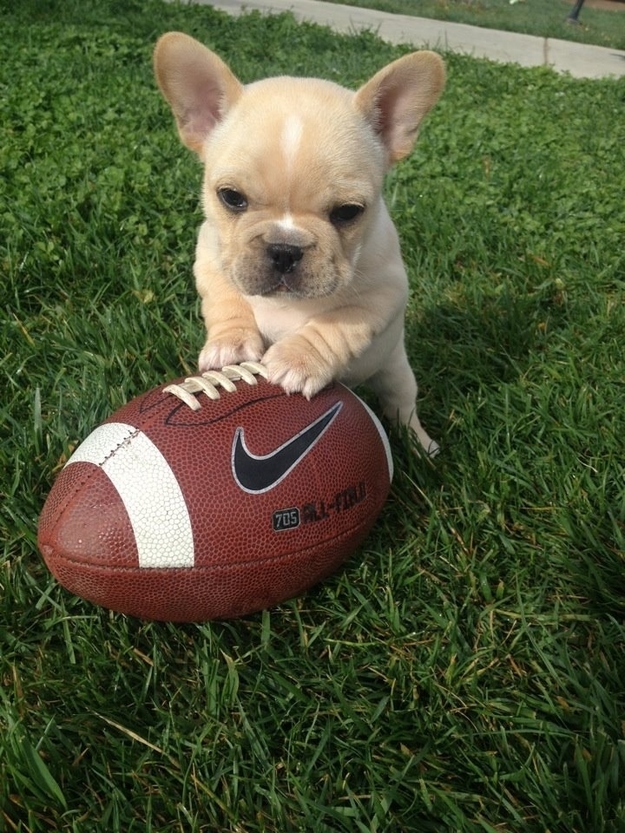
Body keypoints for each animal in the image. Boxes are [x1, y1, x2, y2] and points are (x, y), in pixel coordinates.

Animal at [152, 30, 444, 456]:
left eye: (348, 212)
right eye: (231, 197)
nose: (284, 248)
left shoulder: (382, 295)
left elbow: (334, 326)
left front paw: (299, 360)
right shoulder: (212, 258)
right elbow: (226, 300)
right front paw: (231, 344)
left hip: (395, 370)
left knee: (401, 406)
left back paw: (422, 445)